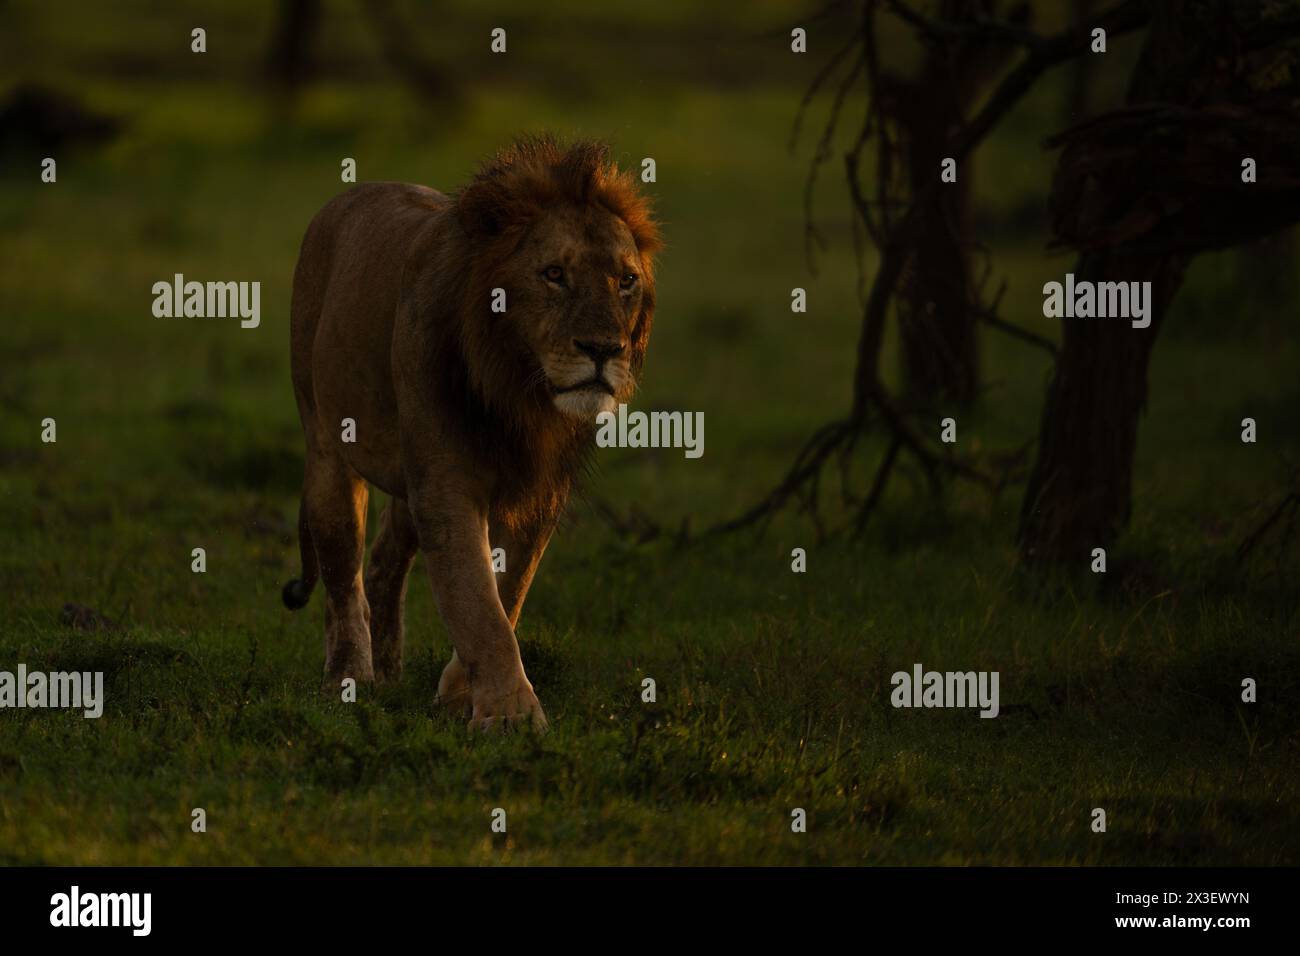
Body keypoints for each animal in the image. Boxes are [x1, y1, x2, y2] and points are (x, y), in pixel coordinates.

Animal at [281, 136, 660, 730]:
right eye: (554, 273)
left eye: (626, 281)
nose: (603, 350)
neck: (521, 391)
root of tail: (349, 196)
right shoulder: (446, 480)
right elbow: (476, 598)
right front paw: (509, 715)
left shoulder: (540, 490)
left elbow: (507, 590)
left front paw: (461, 695)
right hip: (326, 444)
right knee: (344, 572)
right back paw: (349, 675)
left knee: (386, 561)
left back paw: (389, 672)